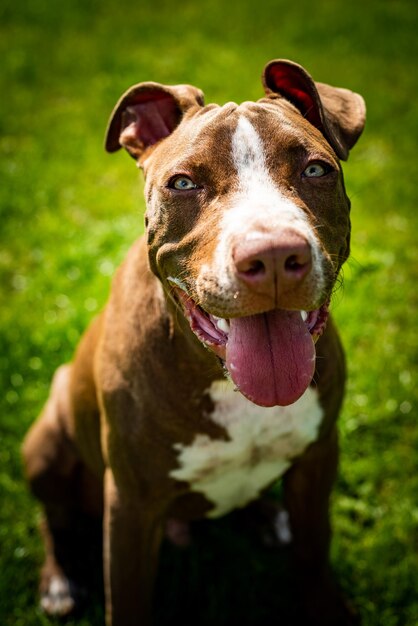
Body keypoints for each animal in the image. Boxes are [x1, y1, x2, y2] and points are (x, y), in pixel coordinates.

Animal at [22, 57, 366, 620]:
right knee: (55, 517)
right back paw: (60, 580)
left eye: (316, 170)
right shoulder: (131, 504)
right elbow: (127, 599)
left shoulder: (319, 458)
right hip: (46, 442)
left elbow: (314, 552)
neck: (225, 382)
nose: (273, 255)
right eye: (182, 182)